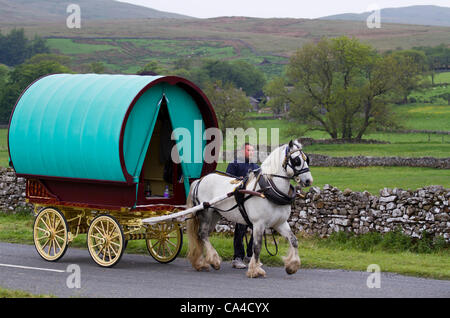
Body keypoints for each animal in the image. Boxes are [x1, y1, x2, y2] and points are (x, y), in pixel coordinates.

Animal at [186, 140, 312, 278]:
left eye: (307, 159)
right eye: (296, 160)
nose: (309, 180)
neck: (267, 189)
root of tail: (200, 180)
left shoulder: (280, 223)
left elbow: (293, 240)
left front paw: (292, 266)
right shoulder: (258, 224)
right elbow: (257, 246)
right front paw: (255, 270)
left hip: (215, 213)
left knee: (204, 235)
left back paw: (203, 262)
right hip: (206, 212)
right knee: (202, 234)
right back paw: (213, 260)